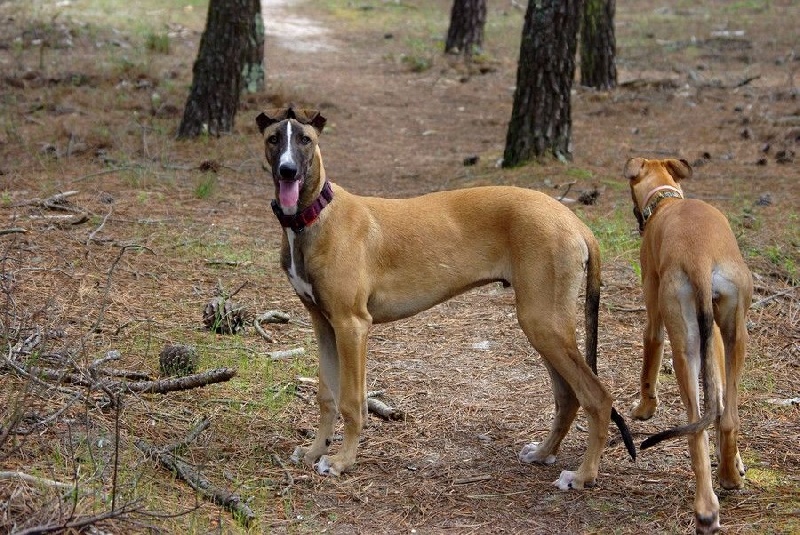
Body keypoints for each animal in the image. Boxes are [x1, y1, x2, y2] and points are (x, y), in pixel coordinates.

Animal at [255, 107, 632, 492]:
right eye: (274, 139)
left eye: (305, 140)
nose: (287, 170)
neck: (314, 215)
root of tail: (575, 222)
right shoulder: (324, 325)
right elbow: (326, 397)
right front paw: (315, 451)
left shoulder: (352, 325)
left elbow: (351, 402)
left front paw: (342, 461)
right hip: (545, 325)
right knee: (567, 397)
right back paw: (543, 453)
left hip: (543, 322)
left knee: (597, 397)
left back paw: (583, 475)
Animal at [624, 157, 752, 532]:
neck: (666, 201)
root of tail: (700, 257)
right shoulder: (718, 340)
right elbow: (721, 399)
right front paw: (736, 463)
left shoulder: (653, 315)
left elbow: (649, 359)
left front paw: (644, 408)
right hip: (736, 335)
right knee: (726, 417)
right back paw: (729, 476)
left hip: (683, 347)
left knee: (696, 431)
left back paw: (706, 510)